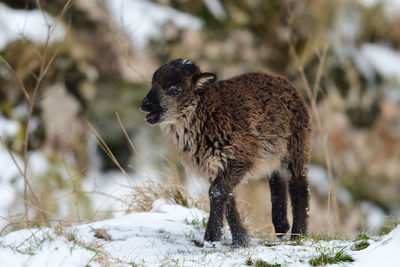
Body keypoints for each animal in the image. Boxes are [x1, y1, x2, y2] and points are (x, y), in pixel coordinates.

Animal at [141, 58, 312, 249]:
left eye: (174, 90)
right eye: (153, 84)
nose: (145, 105)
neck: (207, 115)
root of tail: (282, 80)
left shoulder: (240, 158)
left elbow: (216, 191)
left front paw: (212, 237)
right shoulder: (213, 165)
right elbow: (227, 197)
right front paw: (241, 240)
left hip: (296, 145)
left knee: (299, 185)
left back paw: (298, 235)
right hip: (274, 153)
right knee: (277, 180)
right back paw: (282, 228)